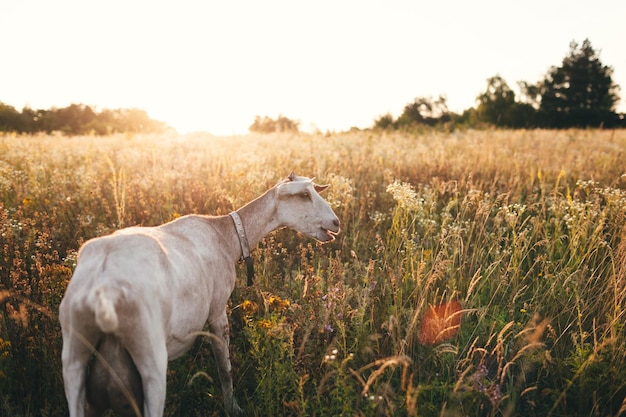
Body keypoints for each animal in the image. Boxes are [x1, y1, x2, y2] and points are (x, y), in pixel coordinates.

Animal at [59, 171, 336, 414]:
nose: (336, 223)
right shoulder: (217, 310)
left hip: (74, 358)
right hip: (150, 356)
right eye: (304, 195)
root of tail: (101, 289)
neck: (227, 236)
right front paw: (233, 407)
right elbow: (224, 368)